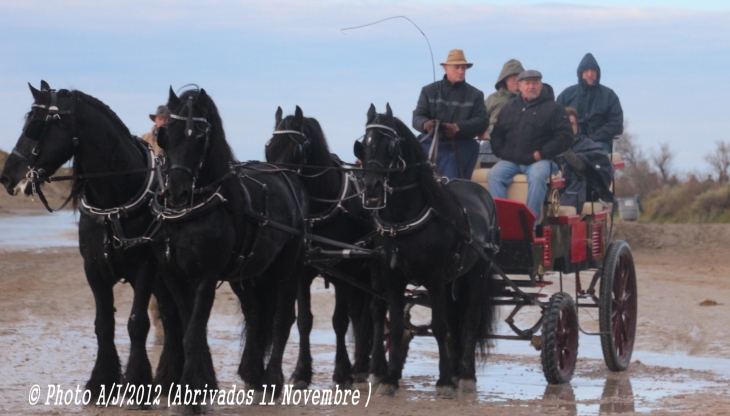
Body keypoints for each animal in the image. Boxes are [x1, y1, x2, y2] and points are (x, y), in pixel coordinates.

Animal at [0, 81, 182, 404]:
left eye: (37, 125)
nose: (8, 177)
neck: (115, 202)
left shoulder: (145, 268)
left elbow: (137, 323)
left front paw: (137, 384)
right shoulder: (94, 269)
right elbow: (103, 324)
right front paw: (102, 382)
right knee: (170, 317)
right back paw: (168, 376)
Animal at [156, 87, 308, 410]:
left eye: (200, 137)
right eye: (166, 134)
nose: (176, 192)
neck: (193, 210)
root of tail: (288, 176)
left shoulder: (206, 277)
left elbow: (192, 334)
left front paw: (192, 395)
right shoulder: (173, 276)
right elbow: (189, 328)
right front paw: (198, 387)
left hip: (289, 267)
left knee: (282, 319)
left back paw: (272, 381)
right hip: (246, 273)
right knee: (254, 313)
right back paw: (252, 373)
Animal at [264, 105, 372, 388]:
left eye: (296, 150)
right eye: (269, 147)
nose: (278, 187)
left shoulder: (344, 271)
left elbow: (339, 321)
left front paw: (342, 372)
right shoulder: (303, 271)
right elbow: (304, 321)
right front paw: (302, 371)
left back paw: (364, 366)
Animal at [354, 103, 500, 396]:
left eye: (391, 145)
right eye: (365, 144)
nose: (371, 186)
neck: (404, 217)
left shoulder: (433, 276)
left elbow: (438, 326)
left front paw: (443, 382)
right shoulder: (392, 276)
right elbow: (397, 324)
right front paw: (390, 378)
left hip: (479, 271)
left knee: (470, 319)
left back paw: (465, 375)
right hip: (453, 278)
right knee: (456, 320)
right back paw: (456, 372)